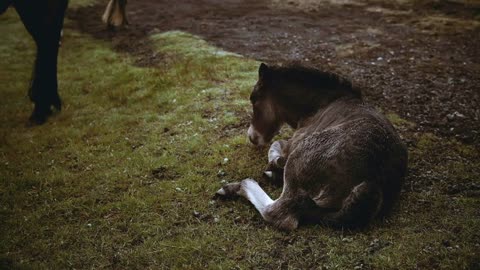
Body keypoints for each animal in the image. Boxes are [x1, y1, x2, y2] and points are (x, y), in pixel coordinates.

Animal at [218, 62, 408, 230]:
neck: (322, 103)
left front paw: (275, 165)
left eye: (254, 99)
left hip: (297, 161)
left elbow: (275, 145)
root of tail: (373, 179)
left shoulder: (296, 141)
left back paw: (236, 187)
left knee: (279, 214)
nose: (251, 137)